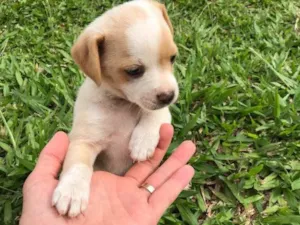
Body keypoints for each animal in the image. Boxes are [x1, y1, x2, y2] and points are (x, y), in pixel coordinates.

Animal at [51, 0, 178, 218]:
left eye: (172, 58)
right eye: (134, 71)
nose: (169, 96)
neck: (123, 103)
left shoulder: (161, 110)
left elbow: (155, 113)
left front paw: (142, 141)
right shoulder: (84, 140)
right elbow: (77, 165)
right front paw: (71, 192)